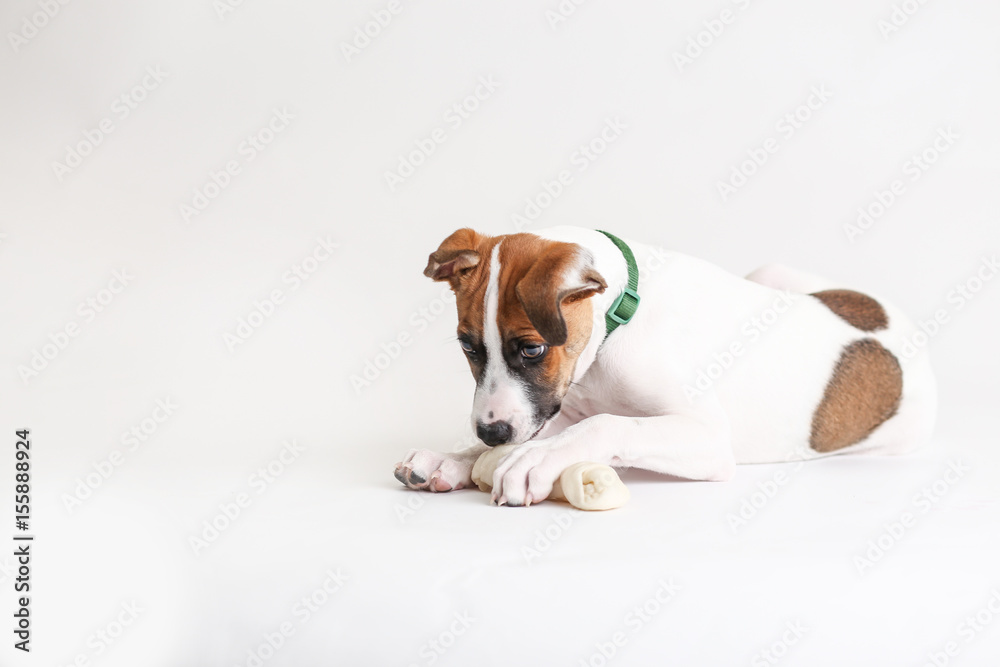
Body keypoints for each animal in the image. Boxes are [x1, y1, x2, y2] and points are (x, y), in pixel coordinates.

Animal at [392, 227, 936, 508]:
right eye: (468, 347)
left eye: (531, 350)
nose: (492, 434)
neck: (618, 323)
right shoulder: (558, 408)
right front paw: (453, 458)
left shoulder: (709, 439)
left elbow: (605, 424)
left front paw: (530, 461)